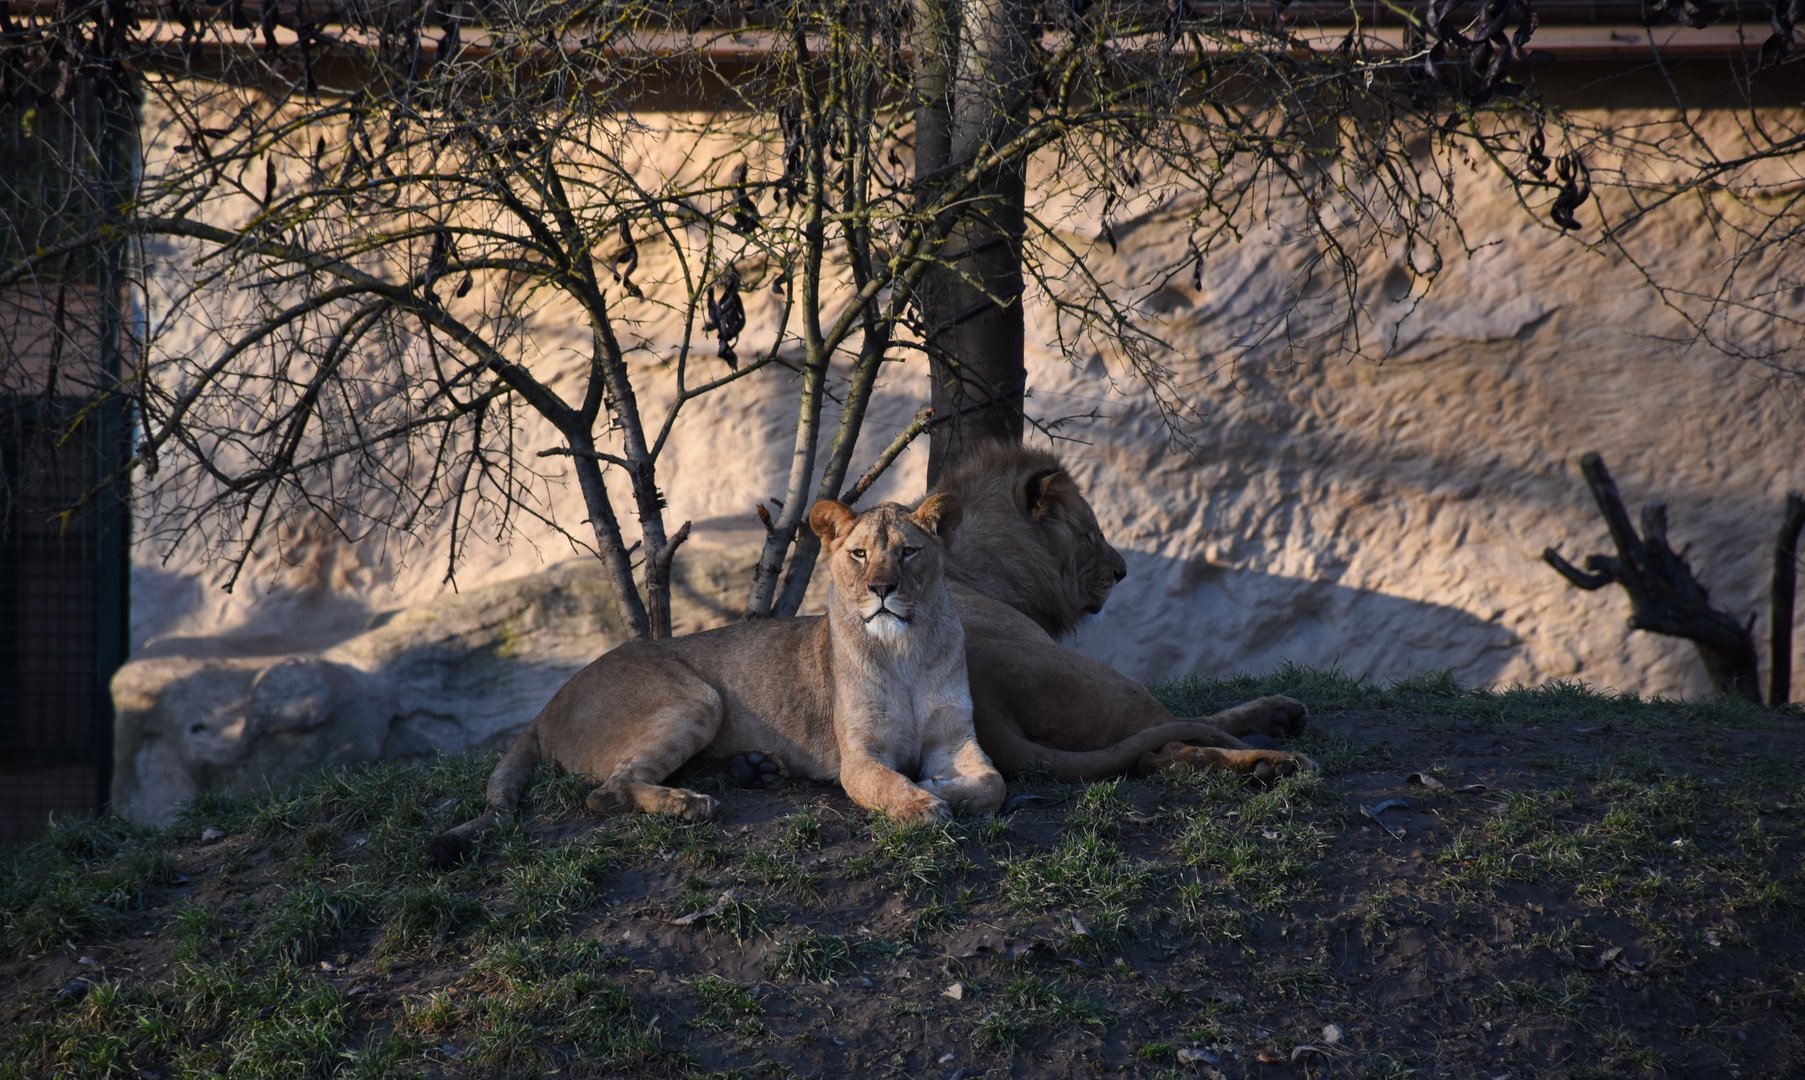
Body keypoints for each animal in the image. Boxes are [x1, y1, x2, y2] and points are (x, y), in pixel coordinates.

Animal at [426, 494, 1003, 867]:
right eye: (859, 554)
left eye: (908, 552)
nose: (882, 589)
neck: (903, 649)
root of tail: (546, 707)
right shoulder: (858, 757)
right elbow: (887, 783)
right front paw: (923, 801)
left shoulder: (955, 737)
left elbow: (993, 783)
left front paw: (941, 786)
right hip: (697, 698)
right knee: (605, 794)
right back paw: (691, 804)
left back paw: (753, 770)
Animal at [938, 441, 1315, 780]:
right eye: (1089, 535)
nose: (1122, 572)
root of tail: (986, 704)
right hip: (1112, 685)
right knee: (1177, 736)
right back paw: (1277, 756)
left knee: (1162, 753)